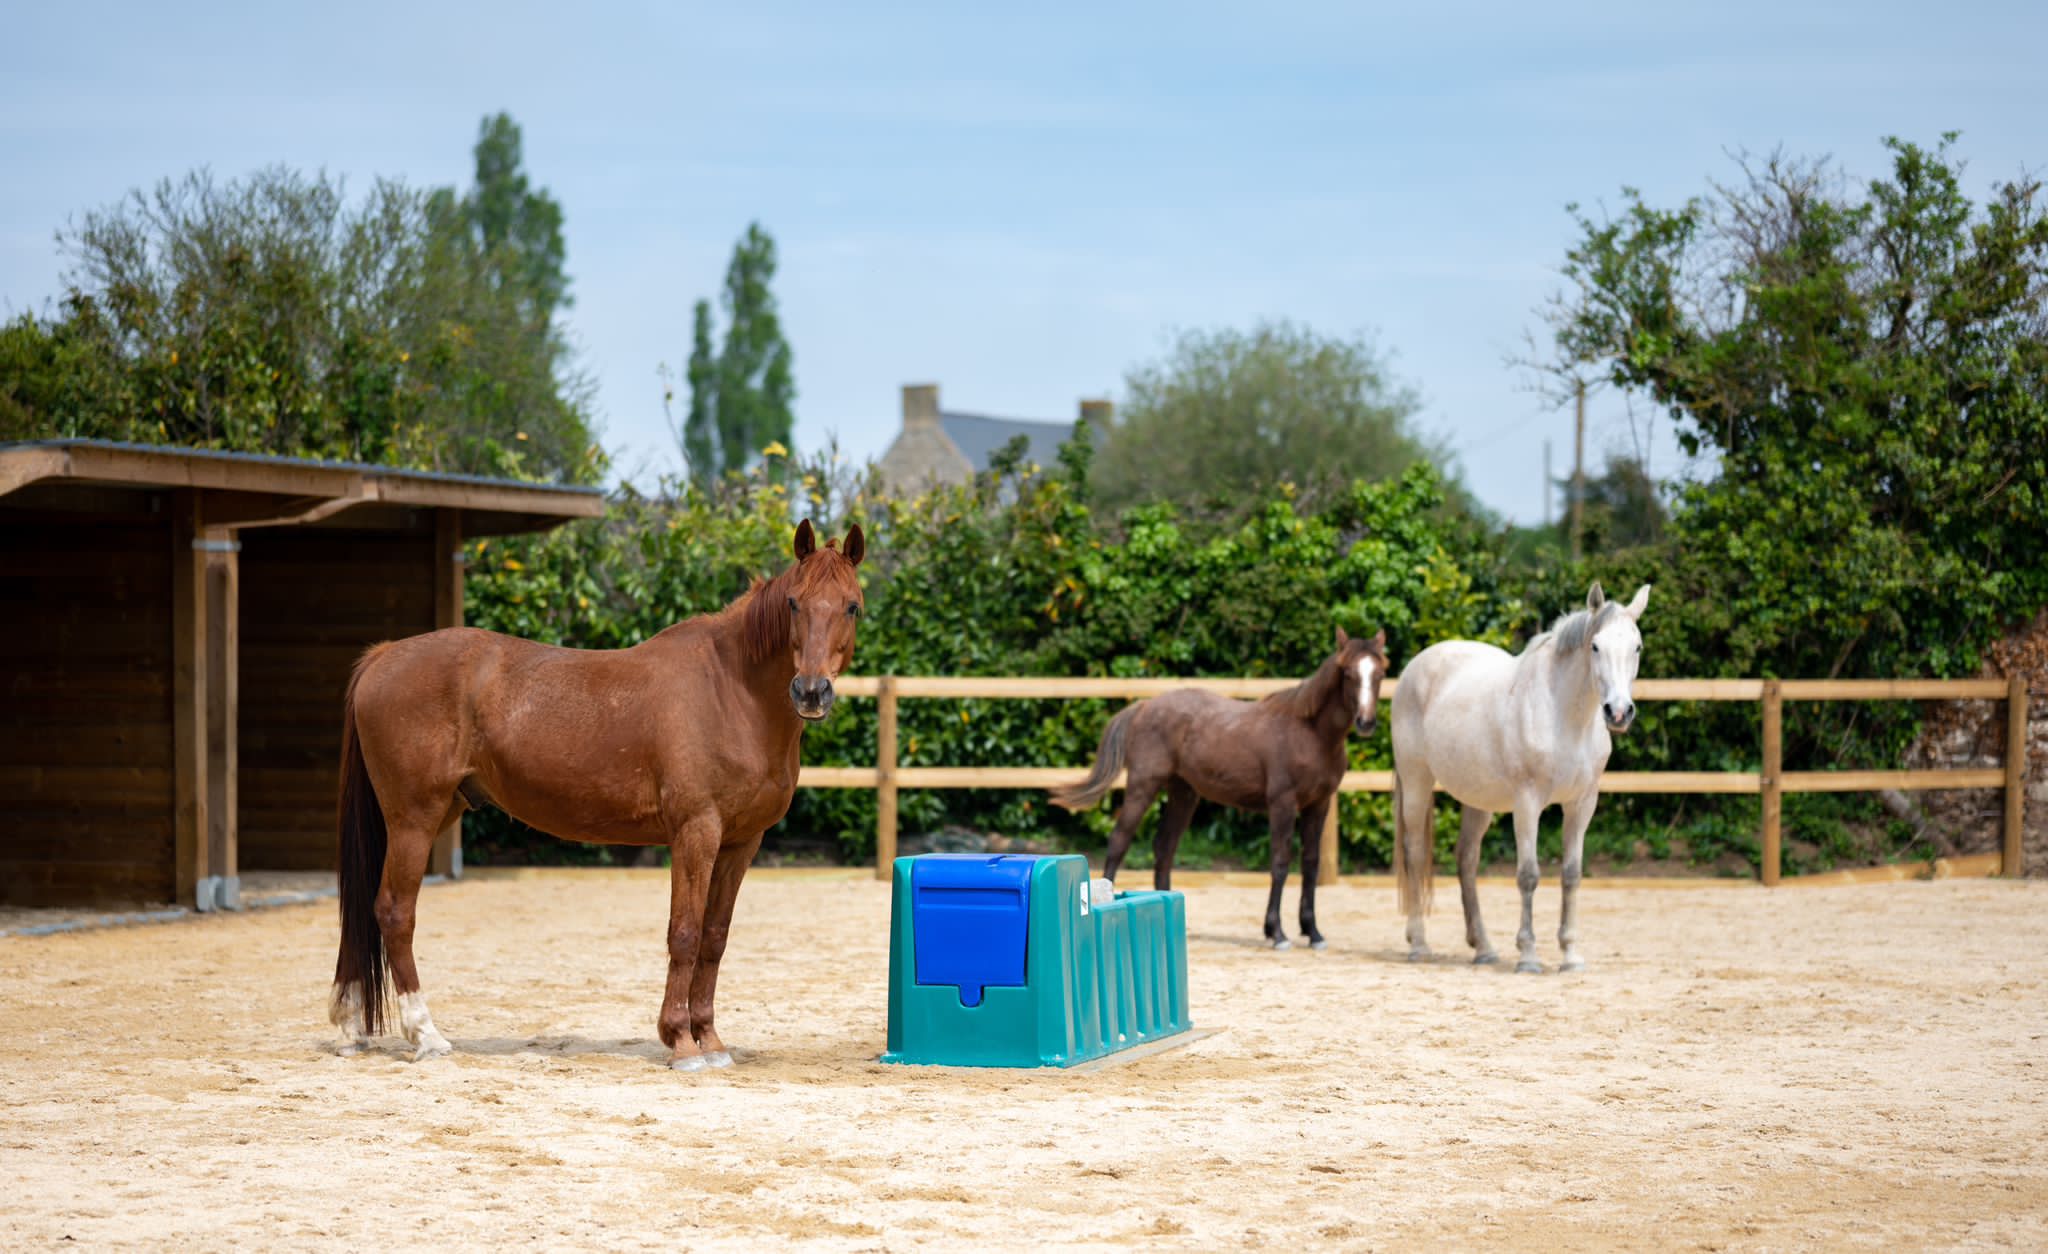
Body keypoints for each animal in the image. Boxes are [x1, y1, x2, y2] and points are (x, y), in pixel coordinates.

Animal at [328, 519, 866, 1071]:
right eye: (794, 604)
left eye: (852, 605)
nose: (811, 692)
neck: (730, 689)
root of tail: (383, 656)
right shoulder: (695, 832)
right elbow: (685, 932)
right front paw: (681, 1041)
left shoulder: (742, 842)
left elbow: (714, 937)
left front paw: (711, 1040)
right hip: (414, 819)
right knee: (394, 912)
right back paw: (426, 1036)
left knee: (365, 912)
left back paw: (352, 1029)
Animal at [1050, 628, 1389, 950]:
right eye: (1348, 674)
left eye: (1380, 674)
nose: (1366, 722)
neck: (1310, 734)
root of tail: (1145, 706)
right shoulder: (1282, 803)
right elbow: (1280, 862)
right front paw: (1277, 932)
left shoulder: (1319, 804)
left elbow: (1310, 864)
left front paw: (1313, 931)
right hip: (1143, 785)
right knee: (1119, 841)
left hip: (1183, 793)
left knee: (1164, 848)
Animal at [1390, 581, 1649, 973]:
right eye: (1595, 646)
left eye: (1637, 646)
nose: (1618, 712)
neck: (1565, 717)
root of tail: (1414, 669)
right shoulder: (1528, 803)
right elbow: (1528, 875)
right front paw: (1528, 956)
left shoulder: (1582, 804)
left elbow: (1572, 874)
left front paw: (1570, 955)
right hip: (1416, 782)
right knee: (1416, 854)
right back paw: (1419, 944)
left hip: (1477, 798)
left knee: (1466, 858)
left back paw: (1483, 948)